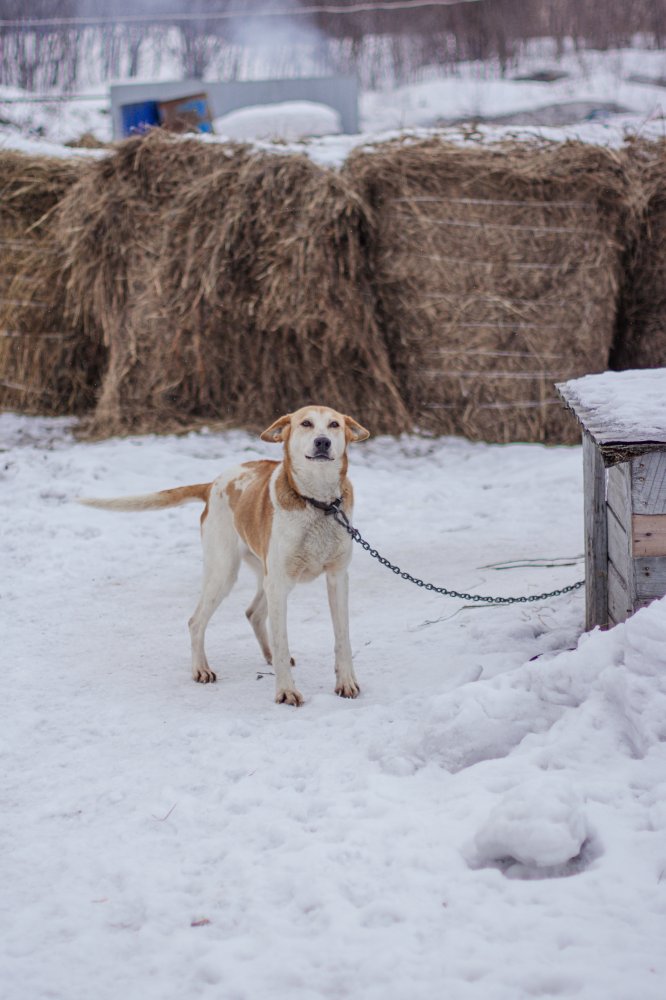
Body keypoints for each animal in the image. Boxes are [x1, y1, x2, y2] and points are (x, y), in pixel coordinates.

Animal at [81, 404, 370, 704]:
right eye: (306, 423)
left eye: (334, 424)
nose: (322, 442)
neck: (319, 504)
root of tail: (212, 484)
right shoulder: (279, 583)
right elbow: (282, 640)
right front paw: (286, 691)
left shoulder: (337, 578)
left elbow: (342, 638)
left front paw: (346, 682)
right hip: (226, 573)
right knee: (196, 621)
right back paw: (201, 669)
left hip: (265, 577)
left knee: (253, 613)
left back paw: (266, 655)